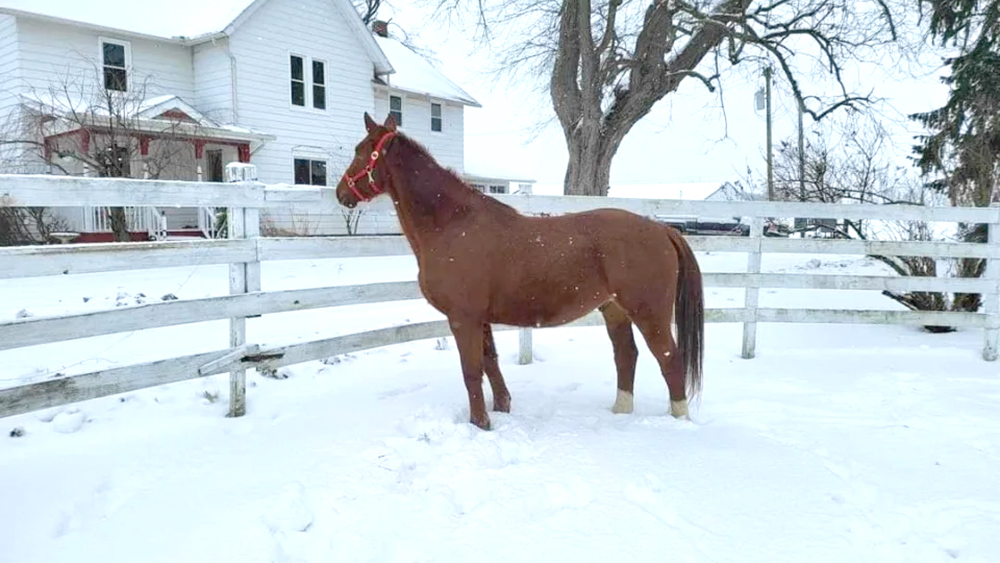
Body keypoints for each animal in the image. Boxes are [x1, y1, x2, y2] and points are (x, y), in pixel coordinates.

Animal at [335, 112, 704, 431]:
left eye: (360, 150)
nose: (340, 193)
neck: (453, 224)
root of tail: (661, 229)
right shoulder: (479, 318)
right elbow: (490, 361)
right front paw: (501, 407)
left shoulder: (463, 318)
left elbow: (471, 370)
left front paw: (480, 423)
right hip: (614, 310)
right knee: (626, 355)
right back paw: (620, 412)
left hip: (649, 313)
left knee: (670, 360)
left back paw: (679, 421)